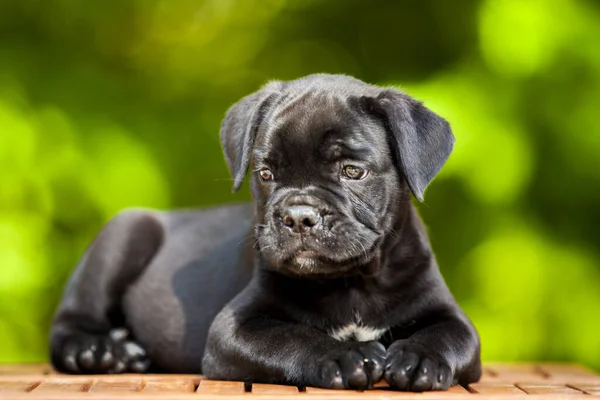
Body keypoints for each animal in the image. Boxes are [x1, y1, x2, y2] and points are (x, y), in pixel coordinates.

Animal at [51, 72, 482, 390]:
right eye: (266, 174)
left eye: (352, 171)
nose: (299, 216)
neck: (353, 283)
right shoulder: (232, 328)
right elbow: (290, 337)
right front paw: (345, 355)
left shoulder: (451, 316)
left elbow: (448, 335)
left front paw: (418, 358)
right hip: (124, 233)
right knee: (69, 323)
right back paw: (99, 351)